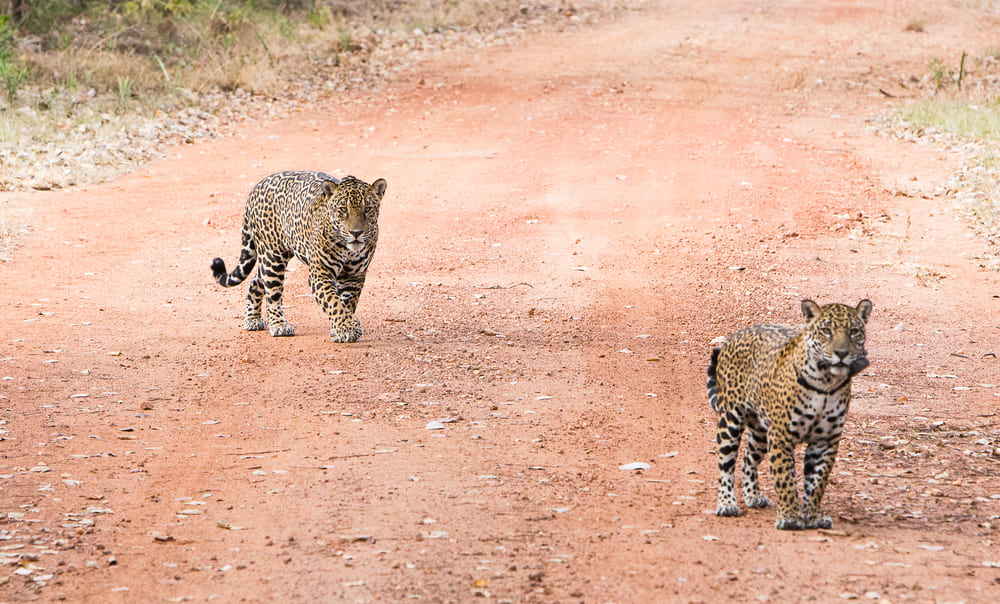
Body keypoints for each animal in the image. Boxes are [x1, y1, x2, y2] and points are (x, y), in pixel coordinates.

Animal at [211, 171, 387, 343]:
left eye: (368, 209)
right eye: (343, 210)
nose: (356, 233)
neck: (348, 248)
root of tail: (257, 186)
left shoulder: (354, 276)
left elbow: (346, 303)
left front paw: (340, 329)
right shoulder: (320, 274)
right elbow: (333, 302)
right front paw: (347, 328)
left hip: (270, 258)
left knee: (256, 282)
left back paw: (252, 319)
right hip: (272, 257)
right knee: (273, 294)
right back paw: (279, 325)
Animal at [706, 299, 872, 530]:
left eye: (854, 331)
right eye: (826, 331)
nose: (841, 353)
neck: (826, 382)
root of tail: (736, 335)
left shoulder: (826, 440)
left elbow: (817, 482)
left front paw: (813, 516)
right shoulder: (781, 436)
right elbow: (785, 479)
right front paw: (790, 518)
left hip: (760, 432)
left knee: (748, 459)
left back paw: (753, 496)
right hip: (730, 421)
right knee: (725, 465)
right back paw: (727, 504)